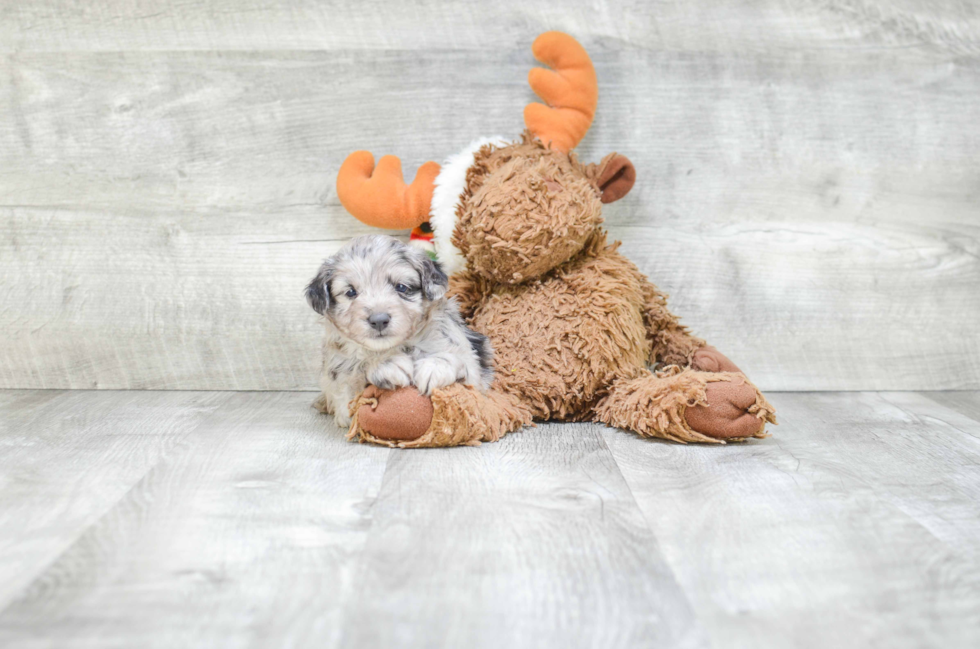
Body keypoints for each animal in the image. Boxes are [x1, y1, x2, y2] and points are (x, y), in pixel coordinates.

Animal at [304, 235, 494, 428]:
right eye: (351, 292)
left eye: (401, 287)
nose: (379, 320)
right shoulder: (341, 388)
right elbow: (353, 378)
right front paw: (385, 363)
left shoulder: (476, 379)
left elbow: (461, 365)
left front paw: (435, 366)